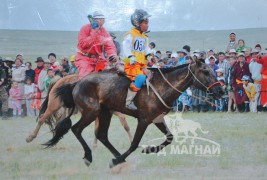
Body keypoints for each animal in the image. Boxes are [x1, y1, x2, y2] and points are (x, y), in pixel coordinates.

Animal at [43, 59, 224, 168]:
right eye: (205, 71)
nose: (220, 91)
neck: (161, 87)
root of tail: (77, 83)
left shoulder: (157, 119)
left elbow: (169, 137)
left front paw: (149, 150)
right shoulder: (143, 120)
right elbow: (135, 143)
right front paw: (120, 158)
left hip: (105, 113)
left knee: (101, 135)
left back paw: (117, 156)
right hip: (91, 112)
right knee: (76, 129)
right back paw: (90, 156)